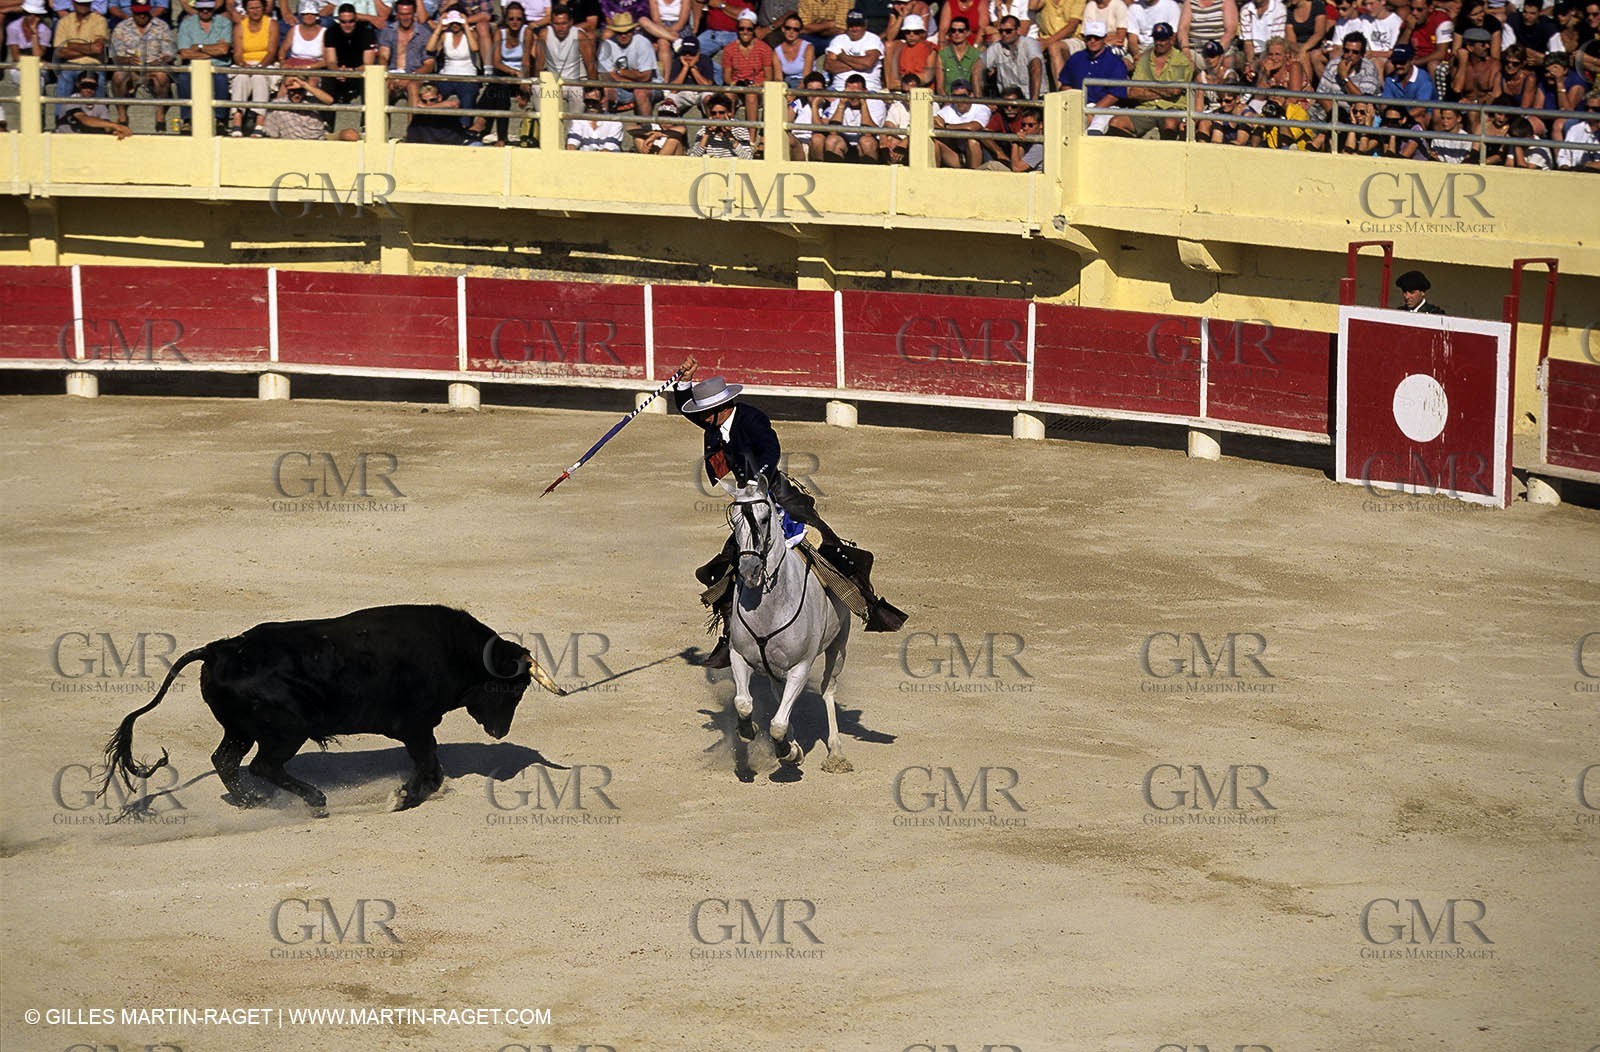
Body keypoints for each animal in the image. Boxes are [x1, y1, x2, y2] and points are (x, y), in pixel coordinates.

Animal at [97, 604, 567, 816]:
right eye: (514, 689)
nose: (500, 732)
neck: (455, 651)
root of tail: (220, 649)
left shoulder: (419, 728)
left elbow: (431, 766)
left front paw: (407, 795)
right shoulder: (416, 725)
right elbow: (428, 765)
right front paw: (404, 797)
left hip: (242, 729)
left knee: (226, 760)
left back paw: (253, 802)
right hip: (286, 730)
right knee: (263, 765)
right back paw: (314, 801)